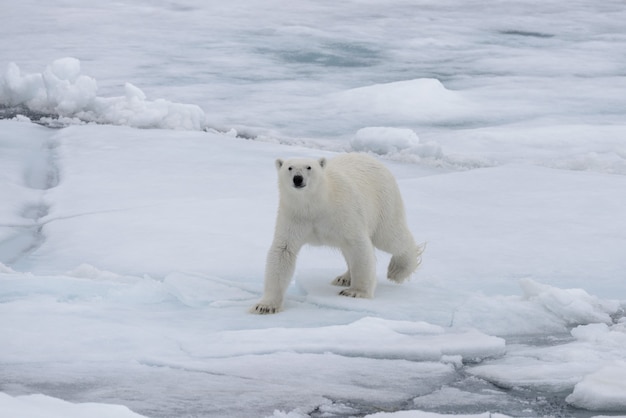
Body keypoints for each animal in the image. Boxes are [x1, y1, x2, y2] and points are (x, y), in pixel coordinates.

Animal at [251, 153, 422, 314]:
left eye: (309, 167)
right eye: (289, 167)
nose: (298, 179)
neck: (316, 205)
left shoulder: (343, 212)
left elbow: (359, 244)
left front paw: (356, 292)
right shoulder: (294, 217)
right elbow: (283, 251)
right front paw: (265, 306)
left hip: (384, 201)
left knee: (389, 237)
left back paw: (398, 270)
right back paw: (344, 277)